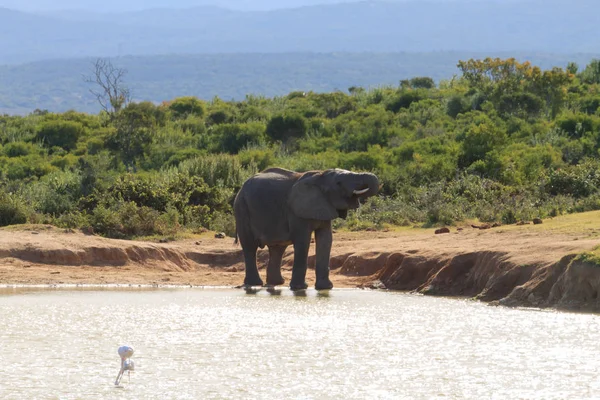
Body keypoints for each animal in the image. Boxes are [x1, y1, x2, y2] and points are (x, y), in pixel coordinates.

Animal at [233, 166, 380, 290]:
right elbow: (303, 240)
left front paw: (325, 288)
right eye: (339, 183)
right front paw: (300, 288)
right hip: (242, 209)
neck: (320, 175)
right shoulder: (296, 210)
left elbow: (326, 239)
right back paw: (255, 283)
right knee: (250, 247)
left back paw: (276, 282)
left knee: (277, 249)